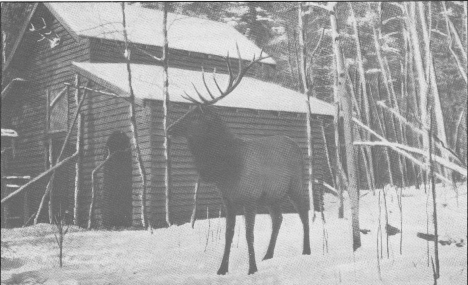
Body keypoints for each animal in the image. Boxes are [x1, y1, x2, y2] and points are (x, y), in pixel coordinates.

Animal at [168, 47, 310, 274]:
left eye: (195, 116)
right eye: (187, 111)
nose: (169, 129)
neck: (226, 171)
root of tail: (295, 144)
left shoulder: (250, 198)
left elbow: (248, 235)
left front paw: (251, 269)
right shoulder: (228, 201)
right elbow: (229, 234)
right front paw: (222, 269)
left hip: (295, 184)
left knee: (303, 213)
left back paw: (306, 251)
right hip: (273, 196)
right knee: (278, 219)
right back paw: (268, 255)